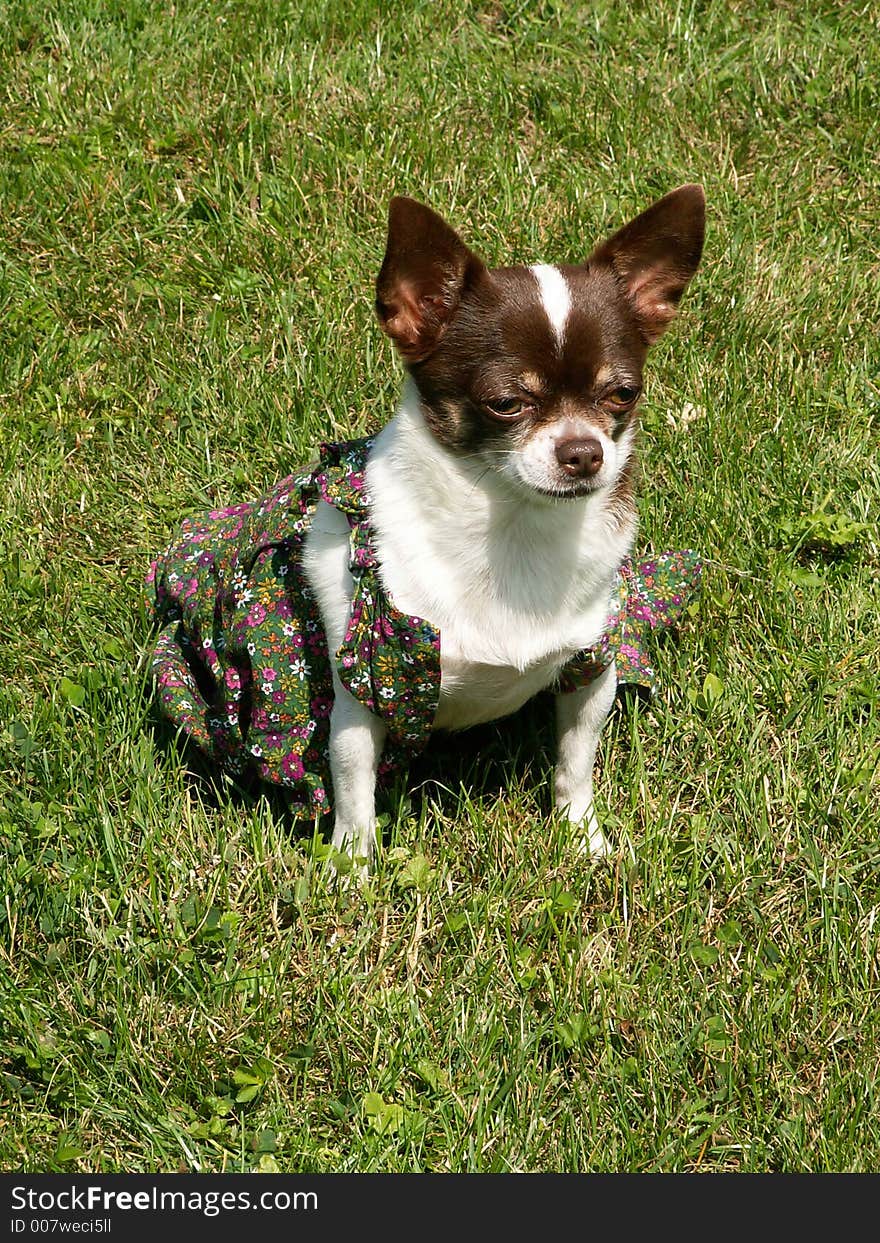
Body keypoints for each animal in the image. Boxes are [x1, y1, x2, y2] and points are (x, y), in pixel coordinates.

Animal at [147, 186, 705, 875]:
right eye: (506, 403)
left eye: (622, 394)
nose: (584, 452)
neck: (509, 526)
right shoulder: (361, 690)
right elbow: (352, 784)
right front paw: (352, 872)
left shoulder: (590, 667)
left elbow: (576, 763)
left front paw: (584, 839)